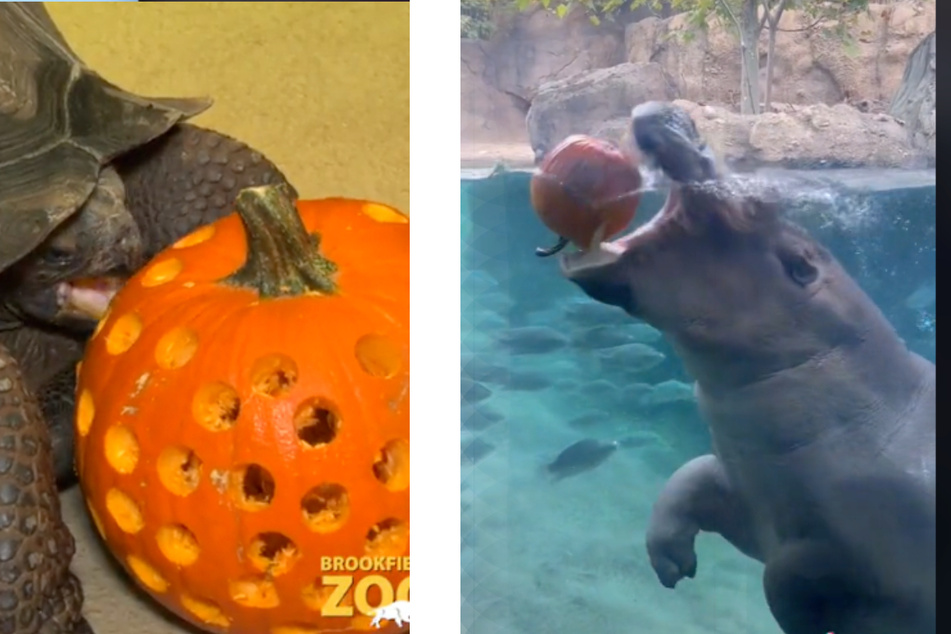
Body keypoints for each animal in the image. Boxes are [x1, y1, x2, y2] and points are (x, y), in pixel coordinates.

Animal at [556, 117, 936, 628]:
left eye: (751, 208)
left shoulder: (835, 545)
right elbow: (689, 474)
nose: (686, 124)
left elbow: (787, 569)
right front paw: (671, 564)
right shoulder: (746, 495)